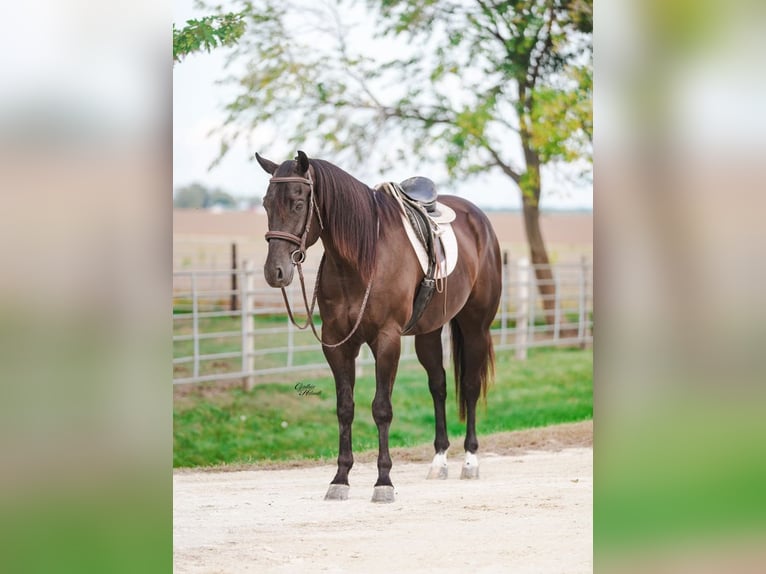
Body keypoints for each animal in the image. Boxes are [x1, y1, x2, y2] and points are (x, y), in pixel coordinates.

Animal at [256, 150, 502, 503]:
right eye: (266, 204)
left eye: (298, 203)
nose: (275, 271)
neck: (361, 259)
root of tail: (480, 221)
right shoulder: (336, 343)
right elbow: (345, 408)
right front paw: (340, 479)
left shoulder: (387, 341)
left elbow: (381, 409)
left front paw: (383, 481)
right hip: (428, 332)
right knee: (438, 386)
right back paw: (439, 461)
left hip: (475, 327)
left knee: (469, 385)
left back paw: (470, 460)